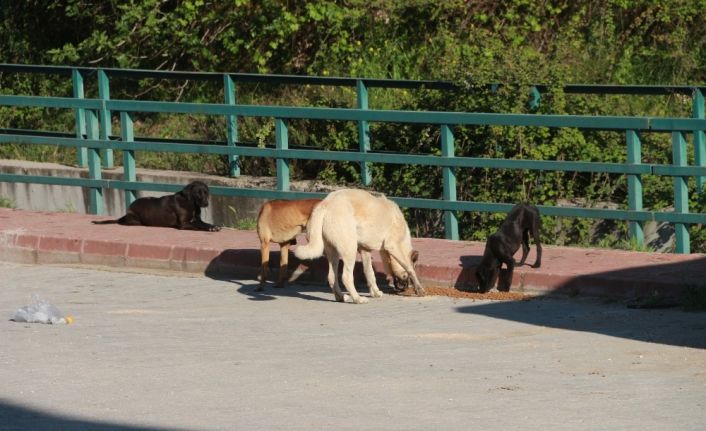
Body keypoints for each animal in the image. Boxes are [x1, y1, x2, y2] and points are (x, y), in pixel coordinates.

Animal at [292, 189, 424, 304]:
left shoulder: (365, 251)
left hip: (333, 253)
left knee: (332, 277)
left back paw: (340, 297)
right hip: (350, 249)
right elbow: (409, 268)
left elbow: (369, 272)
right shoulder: (393, 246)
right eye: (405, 277)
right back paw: (357, 299)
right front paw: (419, 288)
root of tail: (326, 204)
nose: (404, 288)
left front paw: (375, 292)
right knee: (346, 277)